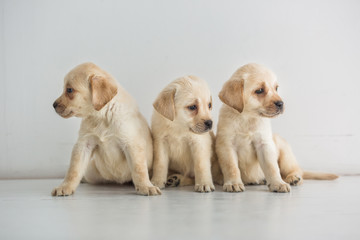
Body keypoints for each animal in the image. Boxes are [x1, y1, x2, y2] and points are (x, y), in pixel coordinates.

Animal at [52, 62, 162, 196]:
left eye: (69, 90)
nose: (53, 105)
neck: (102, 115)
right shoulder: (84, 144)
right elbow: (73, 170)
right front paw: (65, 186)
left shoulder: (132, 143)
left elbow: (139, 169)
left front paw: (146, 186)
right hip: (92, 173)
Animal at [217, 63, 338, 193]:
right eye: (259, 90)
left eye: (276, 88)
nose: (281, 104)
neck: (248, 118)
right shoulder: (226, 146)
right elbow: (231, 167)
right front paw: (233, 183)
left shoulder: (264, 144)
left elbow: (272, 167)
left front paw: (278, 183)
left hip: (285, 154)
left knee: (296, 170)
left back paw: (293, 178)